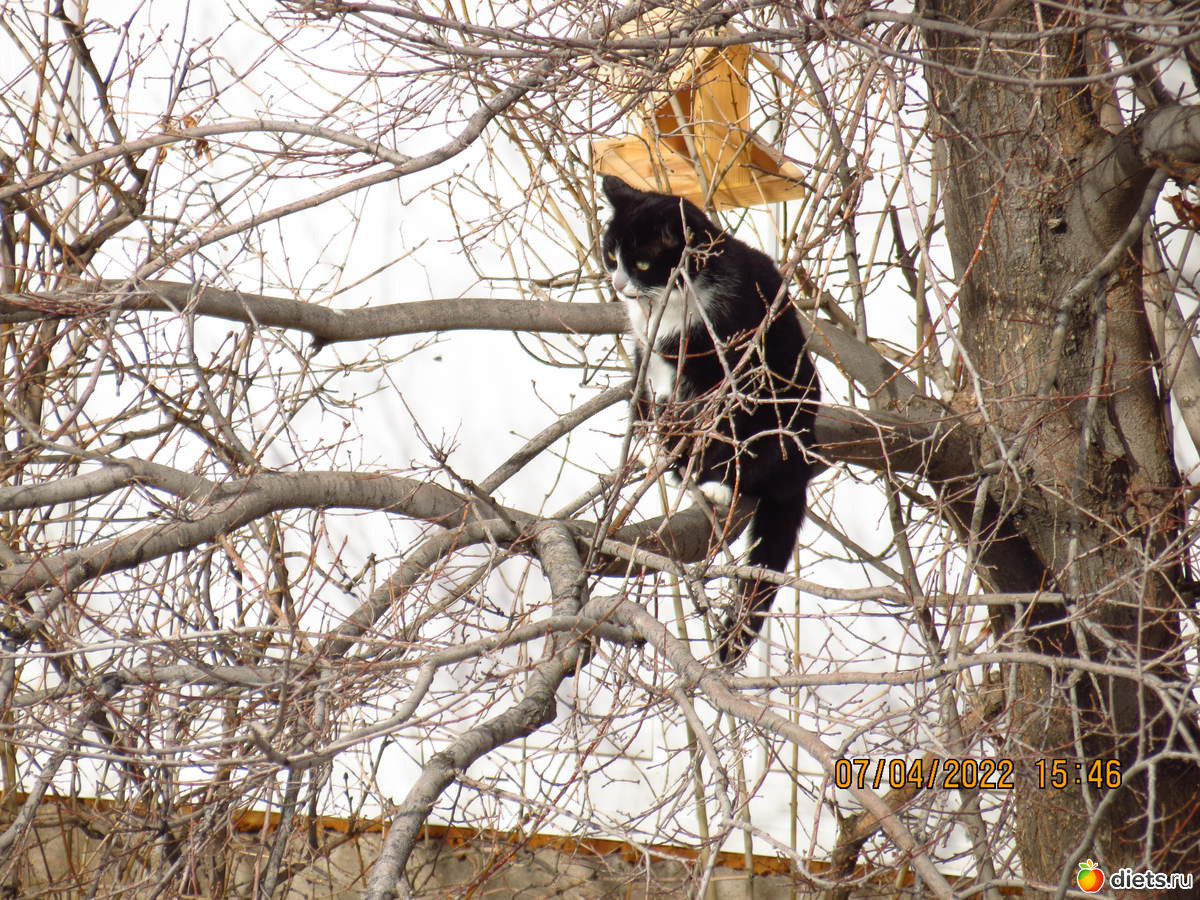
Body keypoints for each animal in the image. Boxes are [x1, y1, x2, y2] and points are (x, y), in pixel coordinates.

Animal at [600, 175, 821, 665]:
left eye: (642, 261)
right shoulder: (648, 357)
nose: (620, 284)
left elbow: (710, 416)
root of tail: (798, 473)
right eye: (610, 254)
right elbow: (652, 393)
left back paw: (717, 484)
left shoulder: (725, 358)